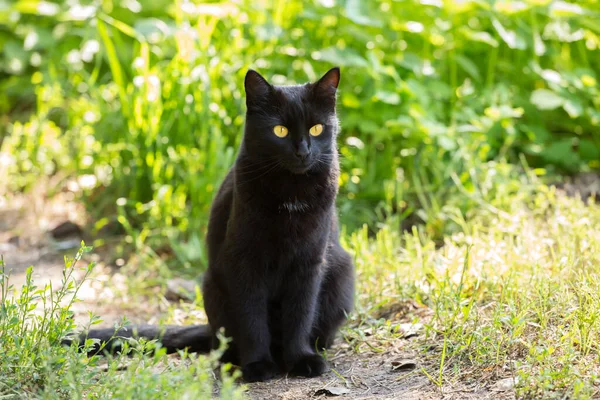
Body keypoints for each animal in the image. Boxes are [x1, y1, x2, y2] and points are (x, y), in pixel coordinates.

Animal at [72, 67, 354, 382]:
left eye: (316, 129)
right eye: (279, 130)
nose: (303, 152)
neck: (291, 194)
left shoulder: (308, 263)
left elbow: (300, 314)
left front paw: (301, 359)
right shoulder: (243, 261)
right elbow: (252, 319)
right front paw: (258, 365)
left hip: (342, 276)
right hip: (213, 286)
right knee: (225, 338)